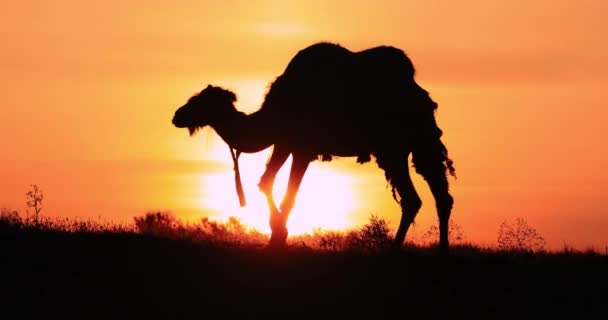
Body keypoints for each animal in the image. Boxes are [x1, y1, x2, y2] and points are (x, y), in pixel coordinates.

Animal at [171, 42, 456, 252]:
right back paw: (441, 250)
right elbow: (266, 182)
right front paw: (276, 234)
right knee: (439, 196)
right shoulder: (284, 143)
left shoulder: (302, 149)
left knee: (414, 199)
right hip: (418, 144)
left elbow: (290, 194)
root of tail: (421, 97)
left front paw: (279, 235)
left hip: (394, 148)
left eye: (198, 101)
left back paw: (394, 249)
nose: (177, 116)